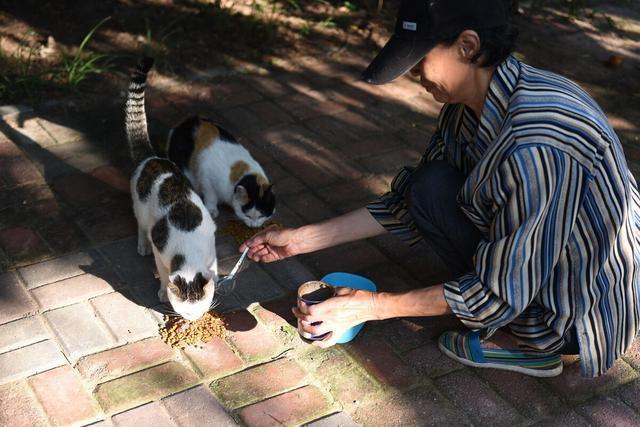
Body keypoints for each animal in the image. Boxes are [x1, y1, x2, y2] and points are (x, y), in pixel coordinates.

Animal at [124, 58, 219, 322]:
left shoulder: (212, 251)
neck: (190, 251)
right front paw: (162, 291)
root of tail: (152, 158)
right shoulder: (161, 251)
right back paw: (142, 246)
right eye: (184, 310)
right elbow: (164, 274)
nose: (193, 319)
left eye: (201, 308)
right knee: (141, 226)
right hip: (141, 210)